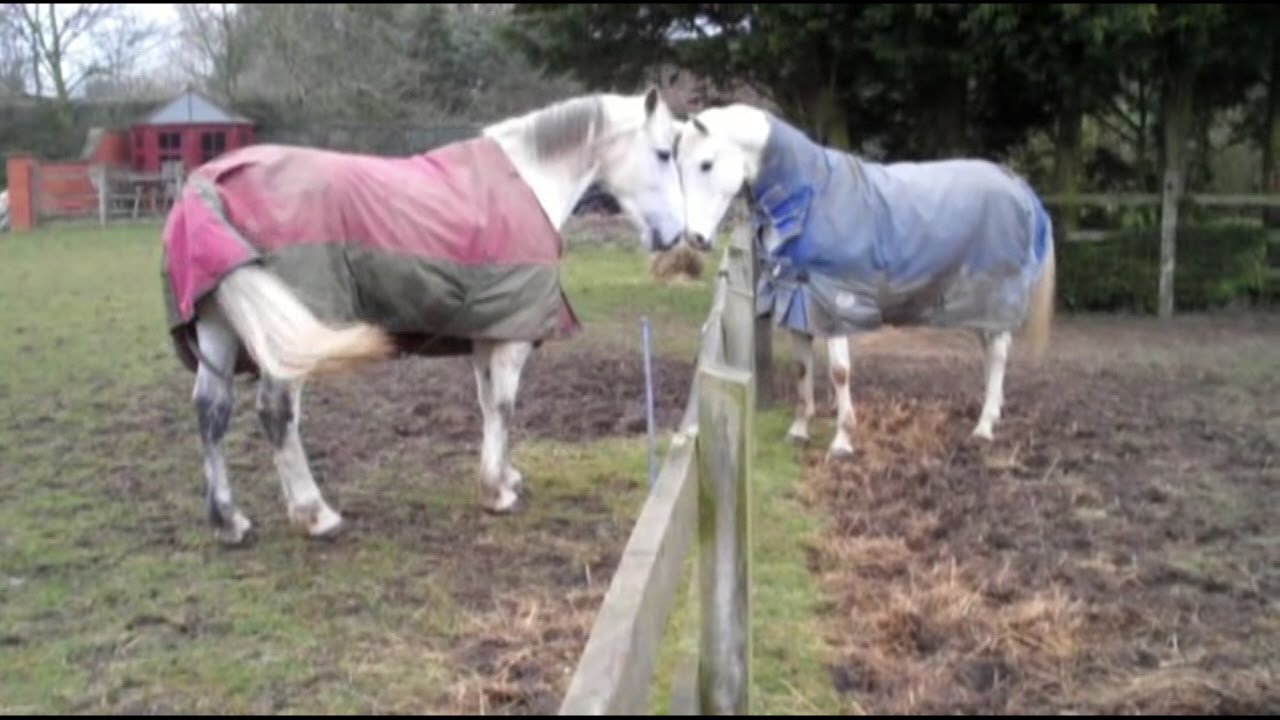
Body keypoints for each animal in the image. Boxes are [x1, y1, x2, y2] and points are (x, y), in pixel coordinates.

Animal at [161, 88, 688, 544]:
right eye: (664, 153)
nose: (674, 236)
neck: (528, 182)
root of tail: (208, 183)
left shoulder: (486, 333)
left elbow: (488, 404)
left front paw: (506, 476)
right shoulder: (512, 336)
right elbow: (504, 405)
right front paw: (497, 492)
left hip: (221, 329)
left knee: (211, 410)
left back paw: (228, 521)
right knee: (276, 412)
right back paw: (316, 515)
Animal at [671, 103, 1056, 461]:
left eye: (706, 164)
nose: (695, 238)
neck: (809, 196)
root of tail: (1018, 186)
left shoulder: (835, 303)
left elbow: (840, 372)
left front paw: (842, 441)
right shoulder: (798, 301)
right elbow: (802, 368)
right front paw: (799, 431)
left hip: (995, 297)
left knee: (999, 355)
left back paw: (984, 428)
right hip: (978, 305)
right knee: (990, 353)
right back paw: (992, 414)